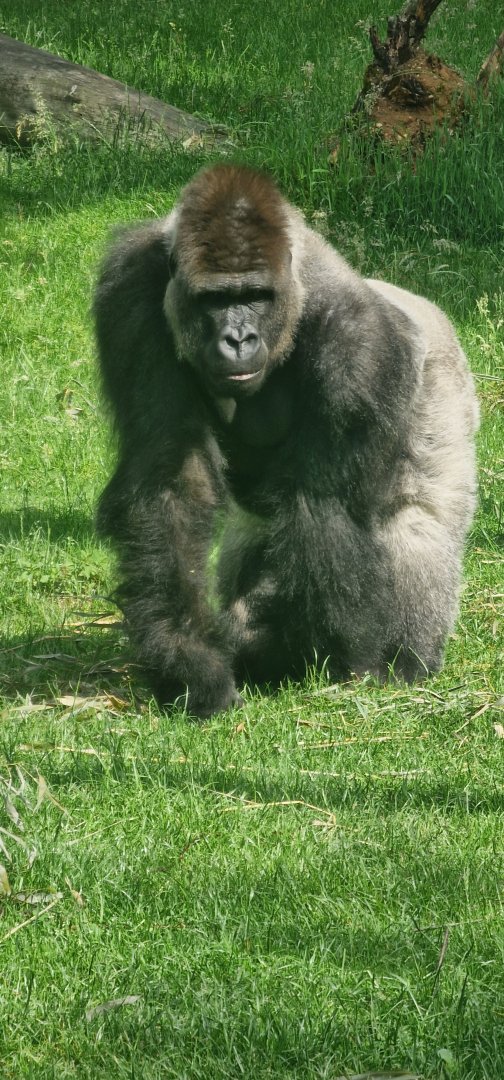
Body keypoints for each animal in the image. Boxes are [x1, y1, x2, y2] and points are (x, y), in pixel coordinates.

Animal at [94, 163, 479, 718]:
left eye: (255, 295)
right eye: (215, 299)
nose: (237, 339)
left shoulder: (361, 344)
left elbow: (318, 508)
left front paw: (258, 645)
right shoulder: (130, 293)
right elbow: (172, 480)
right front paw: (188, 661)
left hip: (447, 397)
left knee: (414, 526)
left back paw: (402, 656)